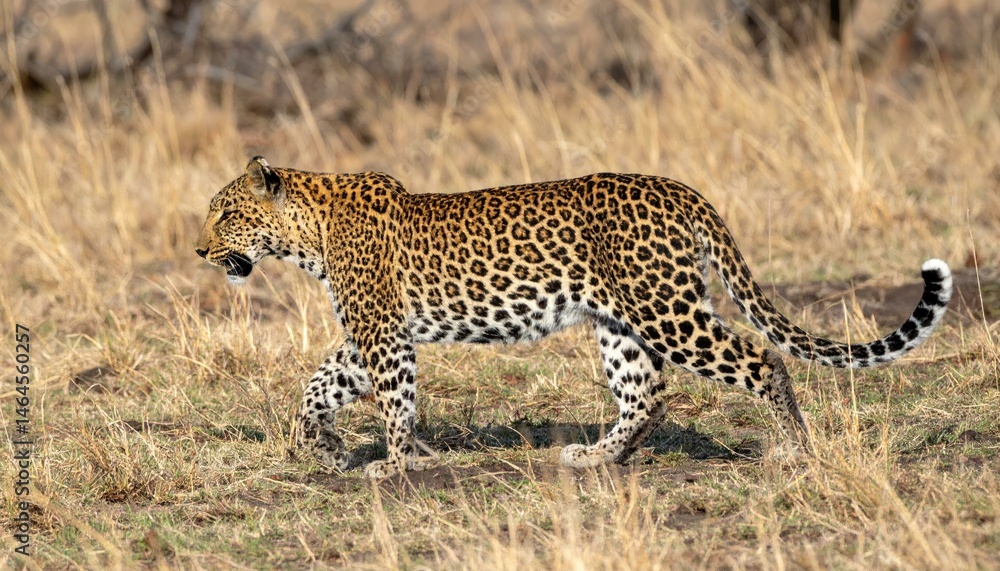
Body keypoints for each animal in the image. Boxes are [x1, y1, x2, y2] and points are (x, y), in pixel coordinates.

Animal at [196, 156, 953, 479]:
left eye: (226, 214)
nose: (200, 249)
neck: (308, 232)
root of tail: (684, 189)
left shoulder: (383, 335)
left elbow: (394, 403)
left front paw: (398, 463)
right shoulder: (371, 337)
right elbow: (316, 387)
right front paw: (322, 447)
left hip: (666, 308)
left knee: (759, 358)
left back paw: (794, 450)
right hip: (621, 322)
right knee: (648, 393)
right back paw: (596, 456)